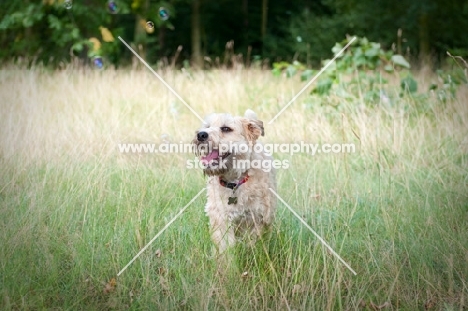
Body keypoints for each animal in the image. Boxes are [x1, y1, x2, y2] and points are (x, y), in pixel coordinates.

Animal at [192, 109, 276, 254]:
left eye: (226, 128)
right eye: (207, 126)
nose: (201, 134)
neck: (234, 181)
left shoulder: (256, 217)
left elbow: (252, 242)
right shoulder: (220, 217)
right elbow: (225, 246)